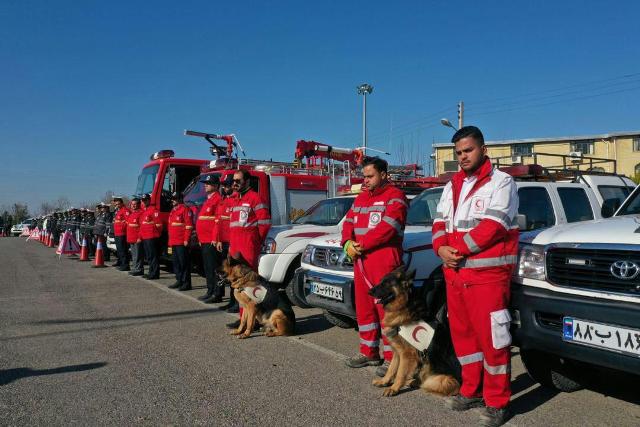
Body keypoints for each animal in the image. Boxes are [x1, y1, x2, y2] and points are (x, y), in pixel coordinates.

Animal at [368, 268, 462, 398]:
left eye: (386, 283)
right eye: (381, 281)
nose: (369, 291)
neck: (404, 306)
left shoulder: (407, 355)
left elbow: (400, 373)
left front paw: (394, 388)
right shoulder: (397, 352)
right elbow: (391, 369)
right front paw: (384, 382)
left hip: (442, 379)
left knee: (429, 383)